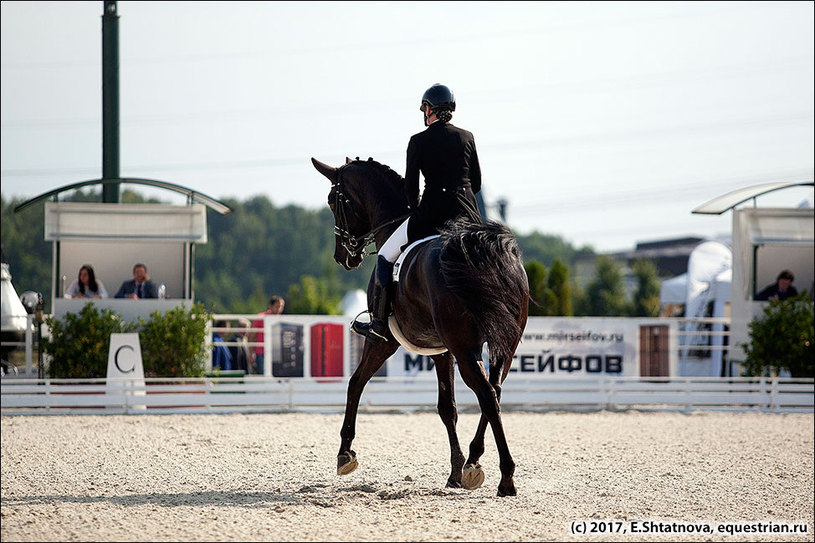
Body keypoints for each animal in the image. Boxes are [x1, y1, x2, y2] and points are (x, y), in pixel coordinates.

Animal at [310, 156, 528, 498]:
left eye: (334, 200)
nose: (342, 256)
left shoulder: (383, 340)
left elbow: (355, 383)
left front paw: (345, 454)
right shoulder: (442, 351)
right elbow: (447, 408)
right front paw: (456, 471)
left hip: (465, 348)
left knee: (487, 394)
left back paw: (506, 478)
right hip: (501, 345)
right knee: (495, 391)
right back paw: (475, 464)